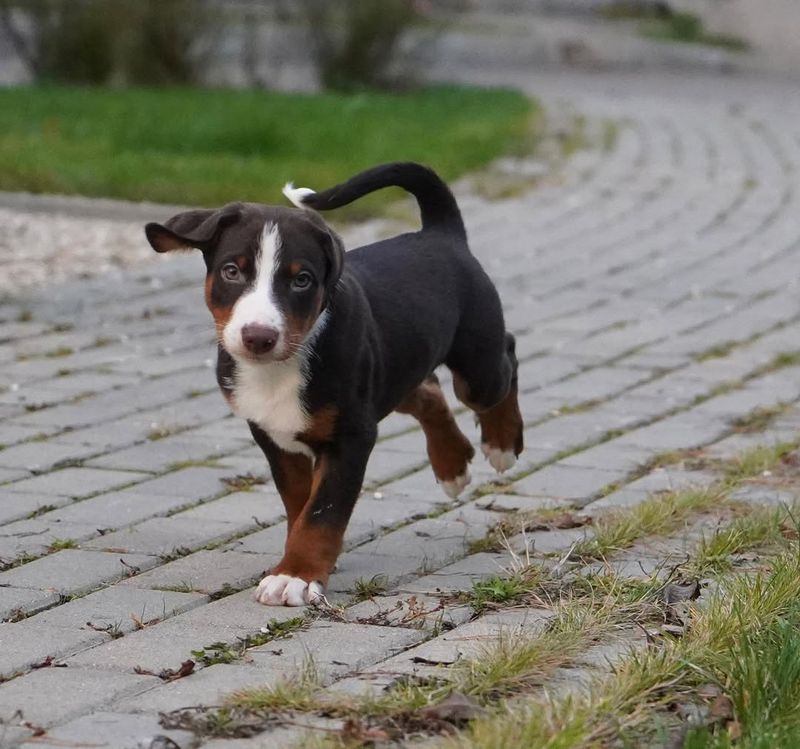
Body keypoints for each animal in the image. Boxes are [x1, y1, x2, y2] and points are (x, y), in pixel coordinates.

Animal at [145, 164, 524, 608]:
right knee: (426, 390)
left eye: (302, 280)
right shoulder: (274, 437)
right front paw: (300, 562)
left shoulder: (351, 436)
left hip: (478, 368)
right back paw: (451, 463)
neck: (281, 368)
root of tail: (439, 232)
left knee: (505, 359)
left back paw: (501, 443)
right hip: (392, 370)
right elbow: (299, 502)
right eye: (232, 271)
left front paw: (295, 575)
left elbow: (322, 510)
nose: (258, 336)